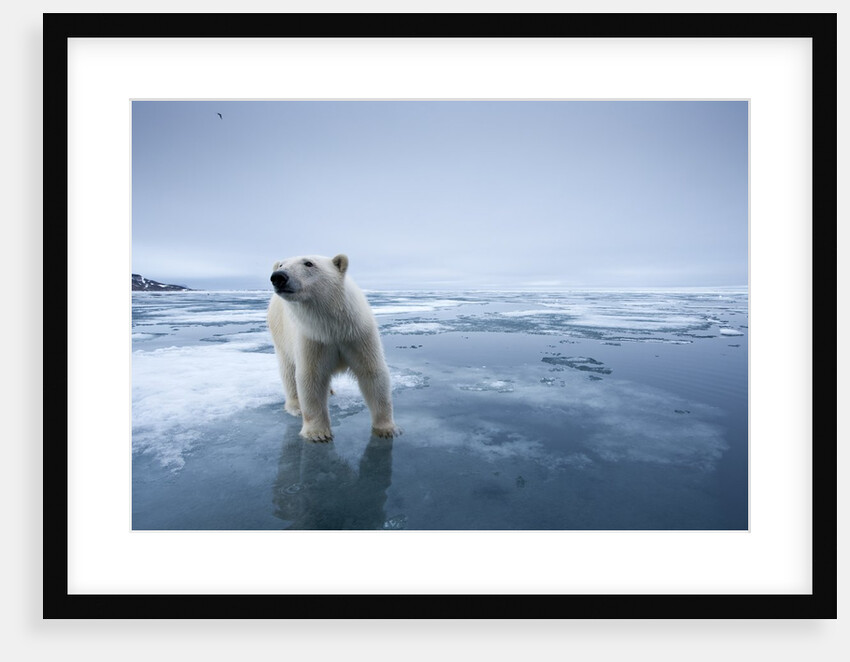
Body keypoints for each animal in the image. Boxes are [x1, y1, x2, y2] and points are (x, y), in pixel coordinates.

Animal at [267, 253, 399, 442]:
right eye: (281, 265)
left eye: (309, 263)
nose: (278, 276)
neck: (332, 327)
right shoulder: (312, 337)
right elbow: (311, 377)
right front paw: (317, 433)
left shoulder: (358, 333)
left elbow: (372, 373)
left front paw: (386, 429)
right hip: (280, 332)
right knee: (288, 370)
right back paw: (296, 406)